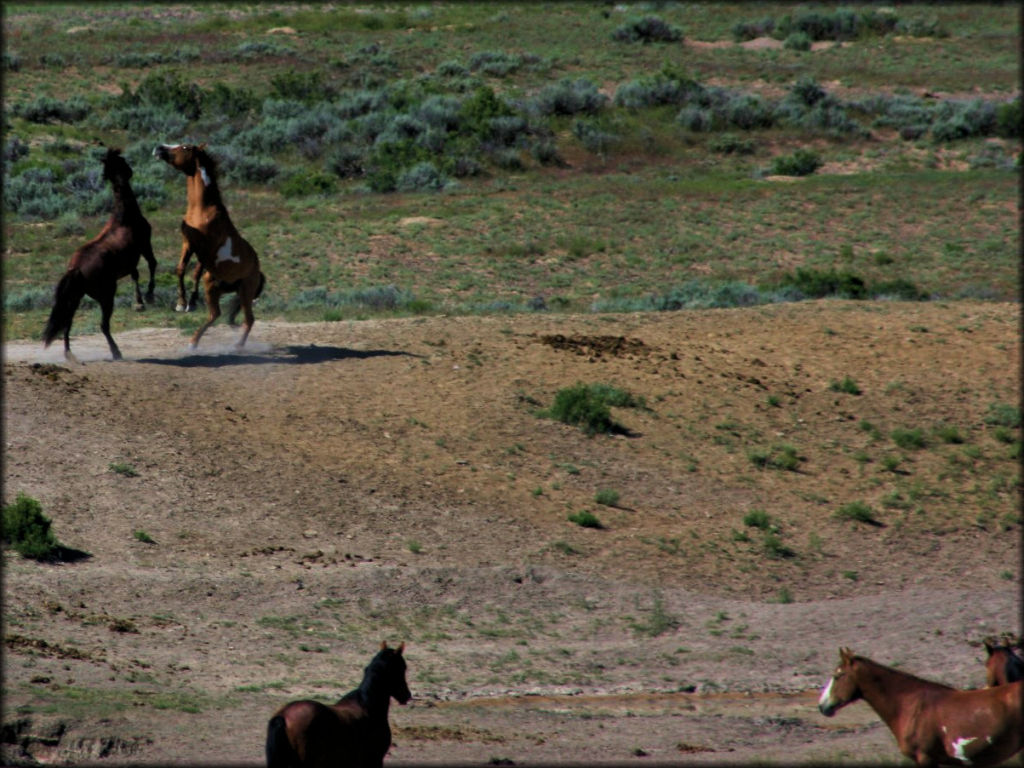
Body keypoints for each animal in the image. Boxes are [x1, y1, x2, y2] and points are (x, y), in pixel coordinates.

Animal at [152, 143, 266, 350]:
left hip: (245, 291)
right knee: (216, 315)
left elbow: (195, 272)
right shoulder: (188, 244)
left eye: (184, 147)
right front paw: (182, 303)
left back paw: (235, 346)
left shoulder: (206, 252)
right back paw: (194, 342)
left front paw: (191, 302)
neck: (202, 211)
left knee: (247, 319)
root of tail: (258, 271)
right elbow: (180, 269)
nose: (159, 148)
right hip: (216, 287)